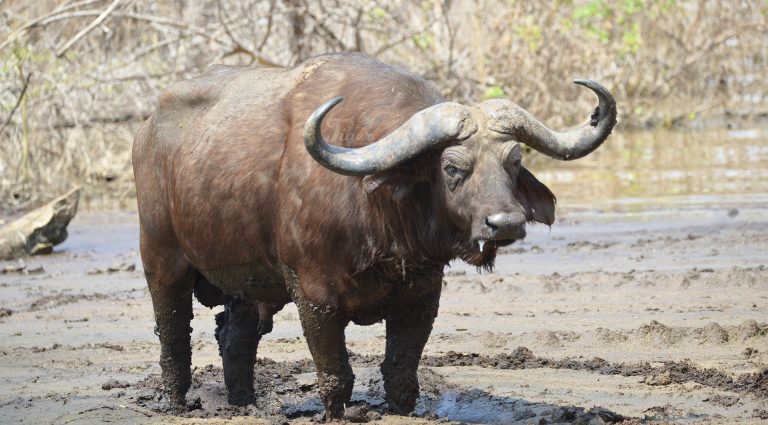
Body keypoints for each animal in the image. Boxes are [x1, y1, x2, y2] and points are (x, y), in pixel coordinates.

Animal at [132, 52, 616, 420]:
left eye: (514, 162)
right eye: (452, 168)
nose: (506, 223)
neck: (378, 216)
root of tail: (147, 127)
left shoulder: (421, 294)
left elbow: (401, 373)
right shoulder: (314, 296)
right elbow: (336, 377)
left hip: (246, 282)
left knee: (236, 339)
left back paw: (245, 405)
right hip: (162, 260)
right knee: (173, 336)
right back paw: (177, 403)